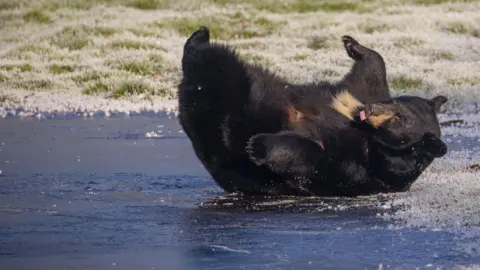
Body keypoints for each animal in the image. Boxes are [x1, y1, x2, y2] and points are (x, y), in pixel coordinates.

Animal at [176, 26, 446, 196]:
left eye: (398, 121)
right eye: (396, 108)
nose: (370, 111)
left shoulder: (357, 165)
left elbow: (313, 156)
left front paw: (258, 145)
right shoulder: (356, 95)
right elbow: (369, 75)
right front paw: (352, 44)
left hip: (232, 97)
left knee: (219, 72)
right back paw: (199, 37)